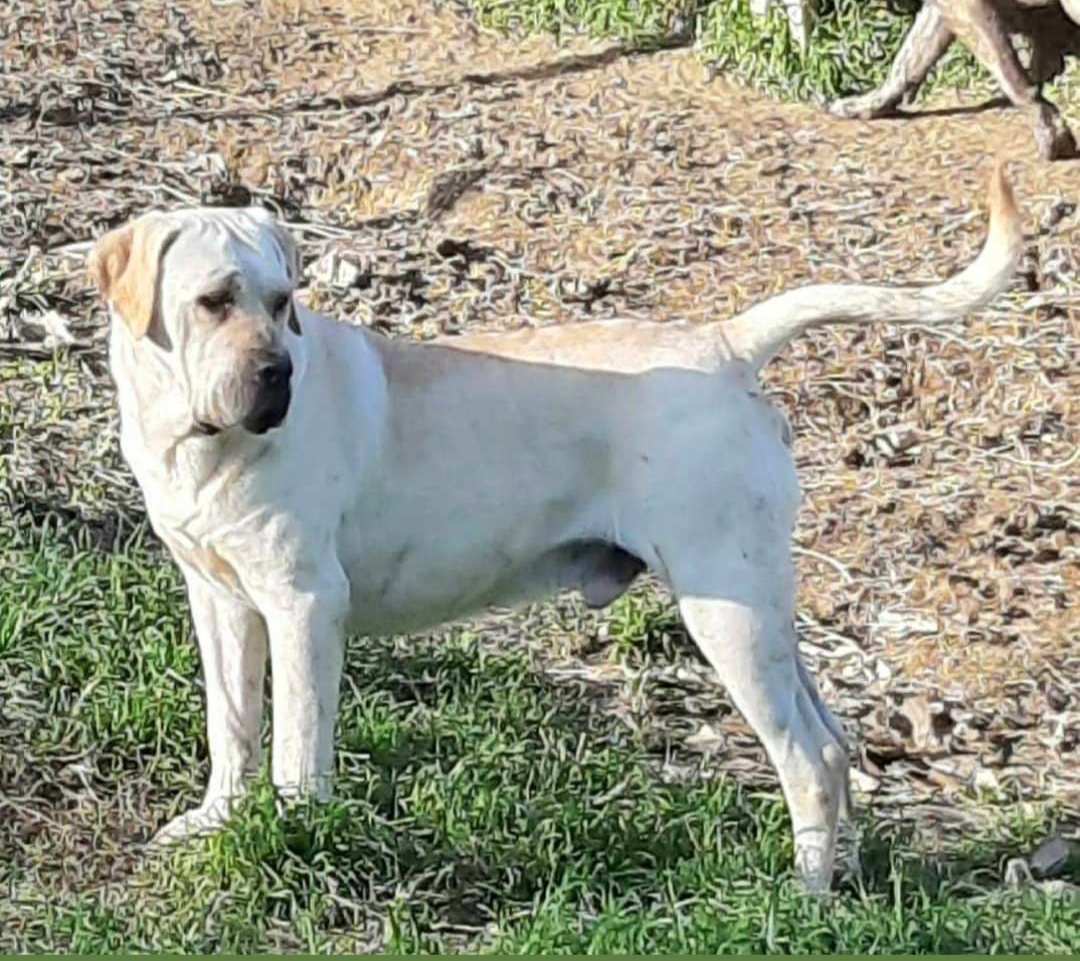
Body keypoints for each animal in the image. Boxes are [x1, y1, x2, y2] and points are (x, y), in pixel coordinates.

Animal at [90, 166, 1019, 889]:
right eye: (214, 301)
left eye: (283, 302)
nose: (277, 373)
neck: (199, 444)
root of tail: (726, 345)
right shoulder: (218, 599)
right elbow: (233, 725)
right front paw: (217, 821)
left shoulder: (304, 606)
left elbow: (297, 743)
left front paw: (294, 831)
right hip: (763, 611)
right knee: (833, 742)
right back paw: (844, 880)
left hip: (727, 610)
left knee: (806, 757)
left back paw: (803, 895)